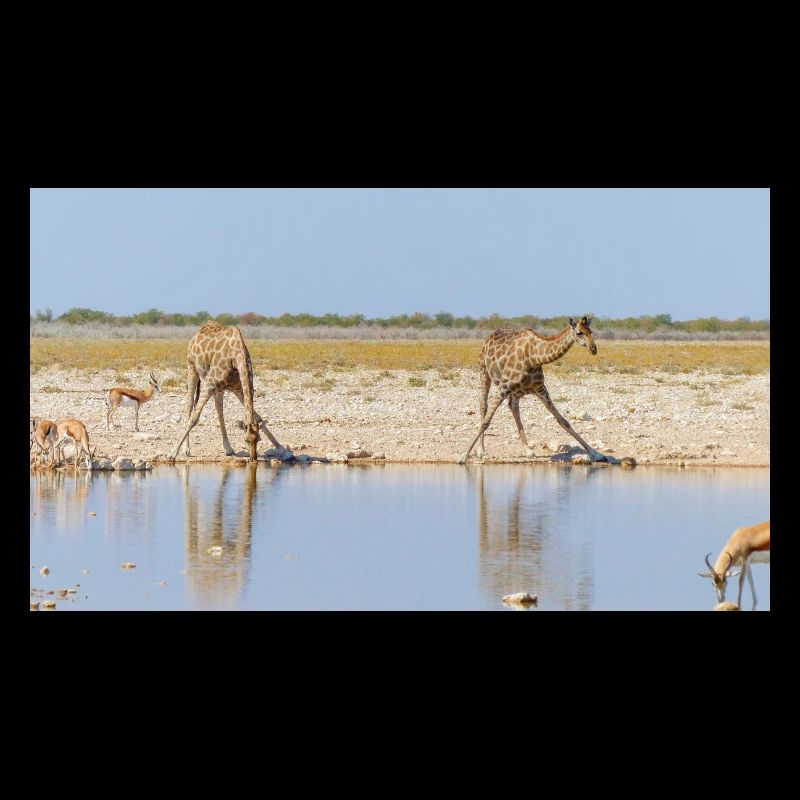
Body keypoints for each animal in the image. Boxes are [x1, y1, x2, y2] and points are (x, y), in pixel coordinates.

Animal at [168, 321, 284, 462]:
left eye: (258, 440)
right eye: (245, 440)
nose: (253, 459)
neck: (236, 356)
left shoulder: (239, 388)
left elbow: (258, 417)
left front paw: (282, 448)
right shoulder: (209, 383)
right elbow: (194, 418)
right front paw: (172, 453)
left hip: (220, 387)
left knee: (219, 409)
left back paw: (228, 448)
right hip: (192, 367)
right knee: (189, 405)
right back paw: (186, 449)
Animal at [458, 316, 608, 465]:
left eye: (591, 331)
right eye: (579, 332)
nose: (593, 349)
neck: (534, 357)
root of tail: (491, 336)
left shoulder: (541, 389)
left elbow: (563, 421)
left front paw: (597, 454)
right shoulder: (503, 387)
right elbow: (485, 422)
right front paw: (463, 456)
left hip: (516, 391)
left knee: (513, 407)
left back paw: (527, 449)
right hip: (484, 372)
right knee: (483, 405)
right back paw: (481, 450)